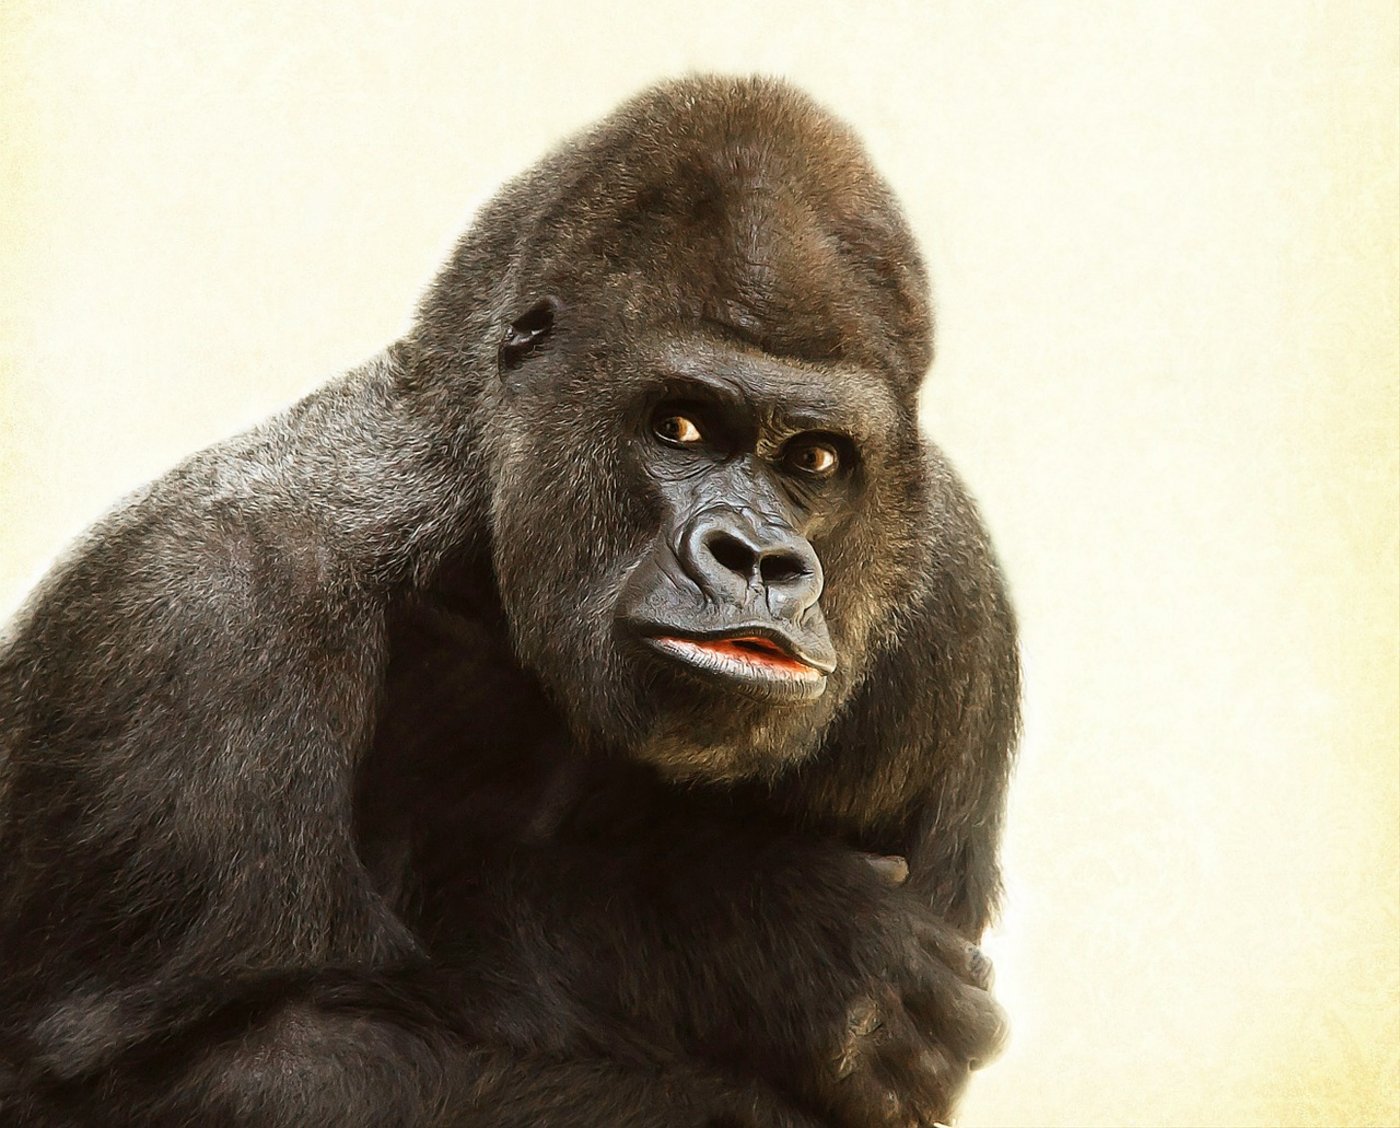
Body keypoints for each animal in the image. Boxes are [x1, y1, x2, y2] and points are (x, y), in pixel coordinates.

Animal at [0, 75, 1018, 1127]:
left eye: (814, 458)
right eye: (680, 427)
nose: (759, 560)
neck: (471, 531)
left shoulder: (954, 609)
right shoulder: (196, 614)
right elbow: (187, 1070)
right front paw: (751, 939)